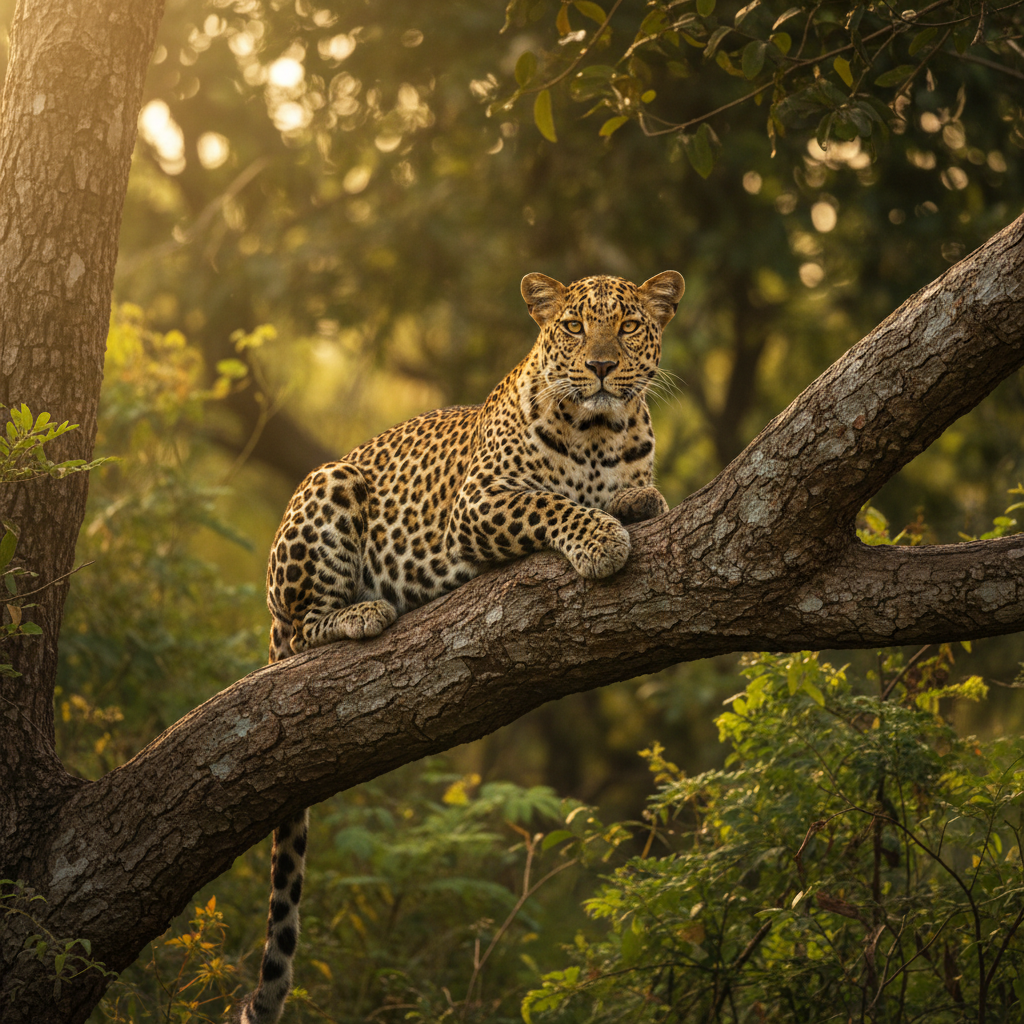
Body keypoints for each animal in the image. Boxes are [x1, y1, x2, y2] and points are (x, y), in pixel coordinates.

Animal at [234, 269, 685, 1024]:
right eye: (572, 326)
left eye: (626, 326)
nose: (599, 366)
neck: (600, 432)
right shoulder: (480, 503)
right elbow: (555, 504)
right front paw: (600, 540)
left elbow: (633, 494)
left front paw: (634, 504)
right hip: (329, 488)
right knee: (304, 629)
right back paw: (363, 613)